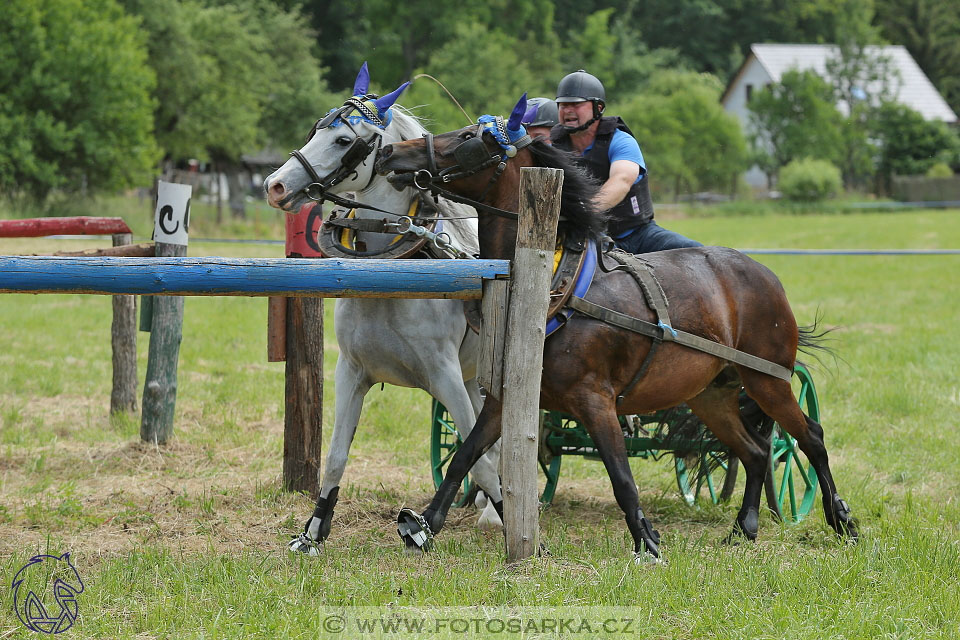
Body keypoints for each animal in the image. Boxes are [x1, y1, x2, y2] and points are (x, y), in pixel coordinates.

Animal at [262, 65, 502, 556]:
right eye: (316, 129)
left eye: (343, 140)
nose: (275, 185)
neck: (394, 272)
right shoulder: (352, 371)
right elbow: (335, 457)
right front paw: (313, 532)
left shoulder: (444, 375)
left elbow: (477, 458)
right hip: (474, 378)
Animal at [372, 101, 860, 560]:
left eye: (469, 137)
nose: (391, 152)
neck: (551, 286)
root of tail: (765, 275)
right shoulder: (505, 398)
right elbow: (464, 458)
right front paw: (424, 525)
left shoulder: (596, 401)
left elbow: (621, 476)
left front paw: (648, 542)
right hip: (710, 395)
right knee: (756, 451)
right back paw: (745, 528)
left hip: (767, 380)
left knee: (808, 439)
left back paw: (841, 521)